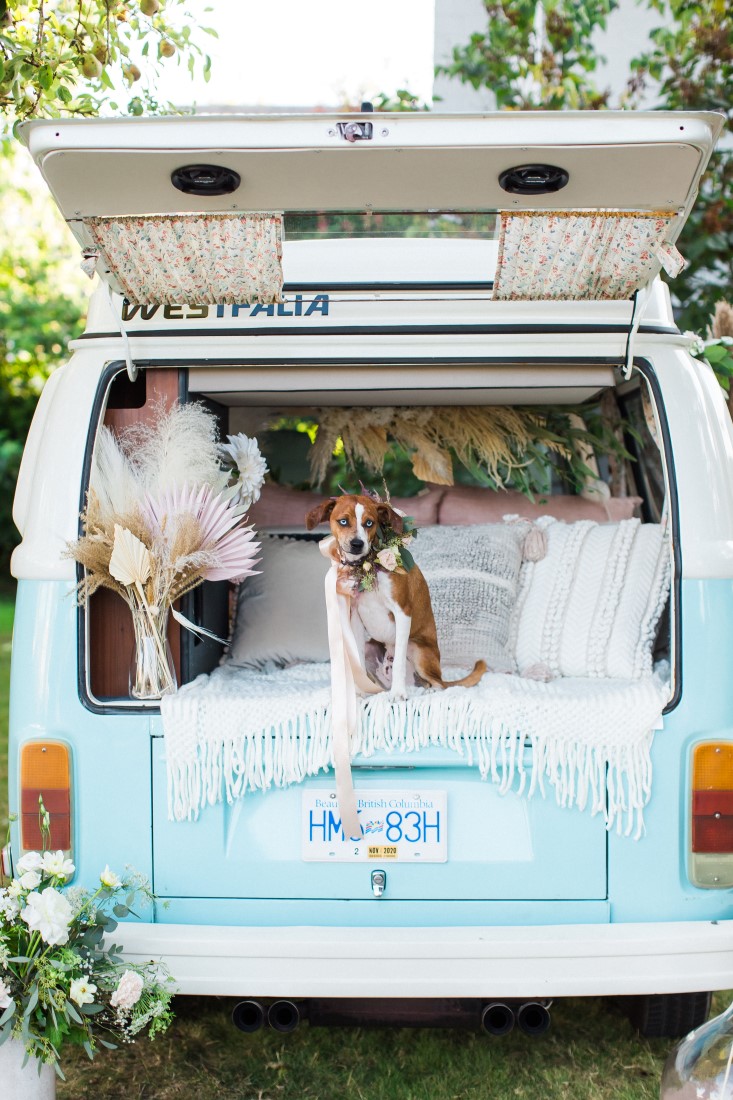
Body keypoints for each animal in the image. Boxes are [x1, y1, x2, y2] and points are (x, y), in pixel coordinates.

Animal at [301, 497, 484, 699]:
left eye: (369, 523)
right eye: (343, 521)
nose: (357, 544)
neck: (368, 567)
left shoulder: (402, 612)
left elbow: (398, 663)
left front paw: (398, 693)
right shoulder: (355, 617)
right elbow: (358, 659)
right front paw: (360, 692)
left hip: (417, 648)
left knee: (438, 684)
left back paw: (422, 691)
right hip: (372, 647)